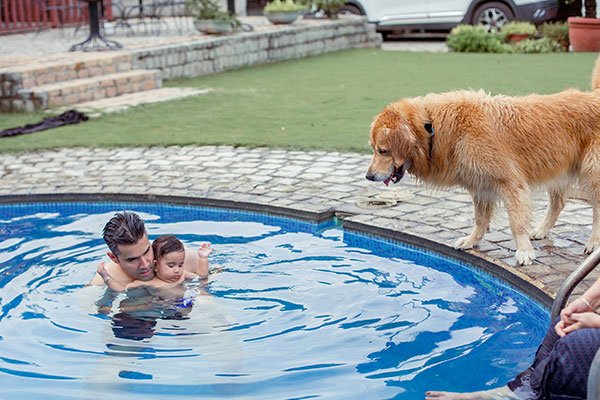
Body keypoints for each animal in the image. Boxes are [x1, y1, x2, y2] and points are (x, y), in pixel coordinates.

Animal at [364, 54, 600, 264]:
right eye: (374, 149)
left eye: (382, 150)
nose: (368, 176)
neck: (431, 127)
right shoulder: (481, 187)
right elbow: (479, 219)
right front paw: (472, 240)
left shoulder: (510, 183)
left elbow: (516, 222)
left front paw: (524, 251)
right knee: (559, 203)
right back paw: (541, 230)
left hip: (591, 172)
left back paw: (593, 243)